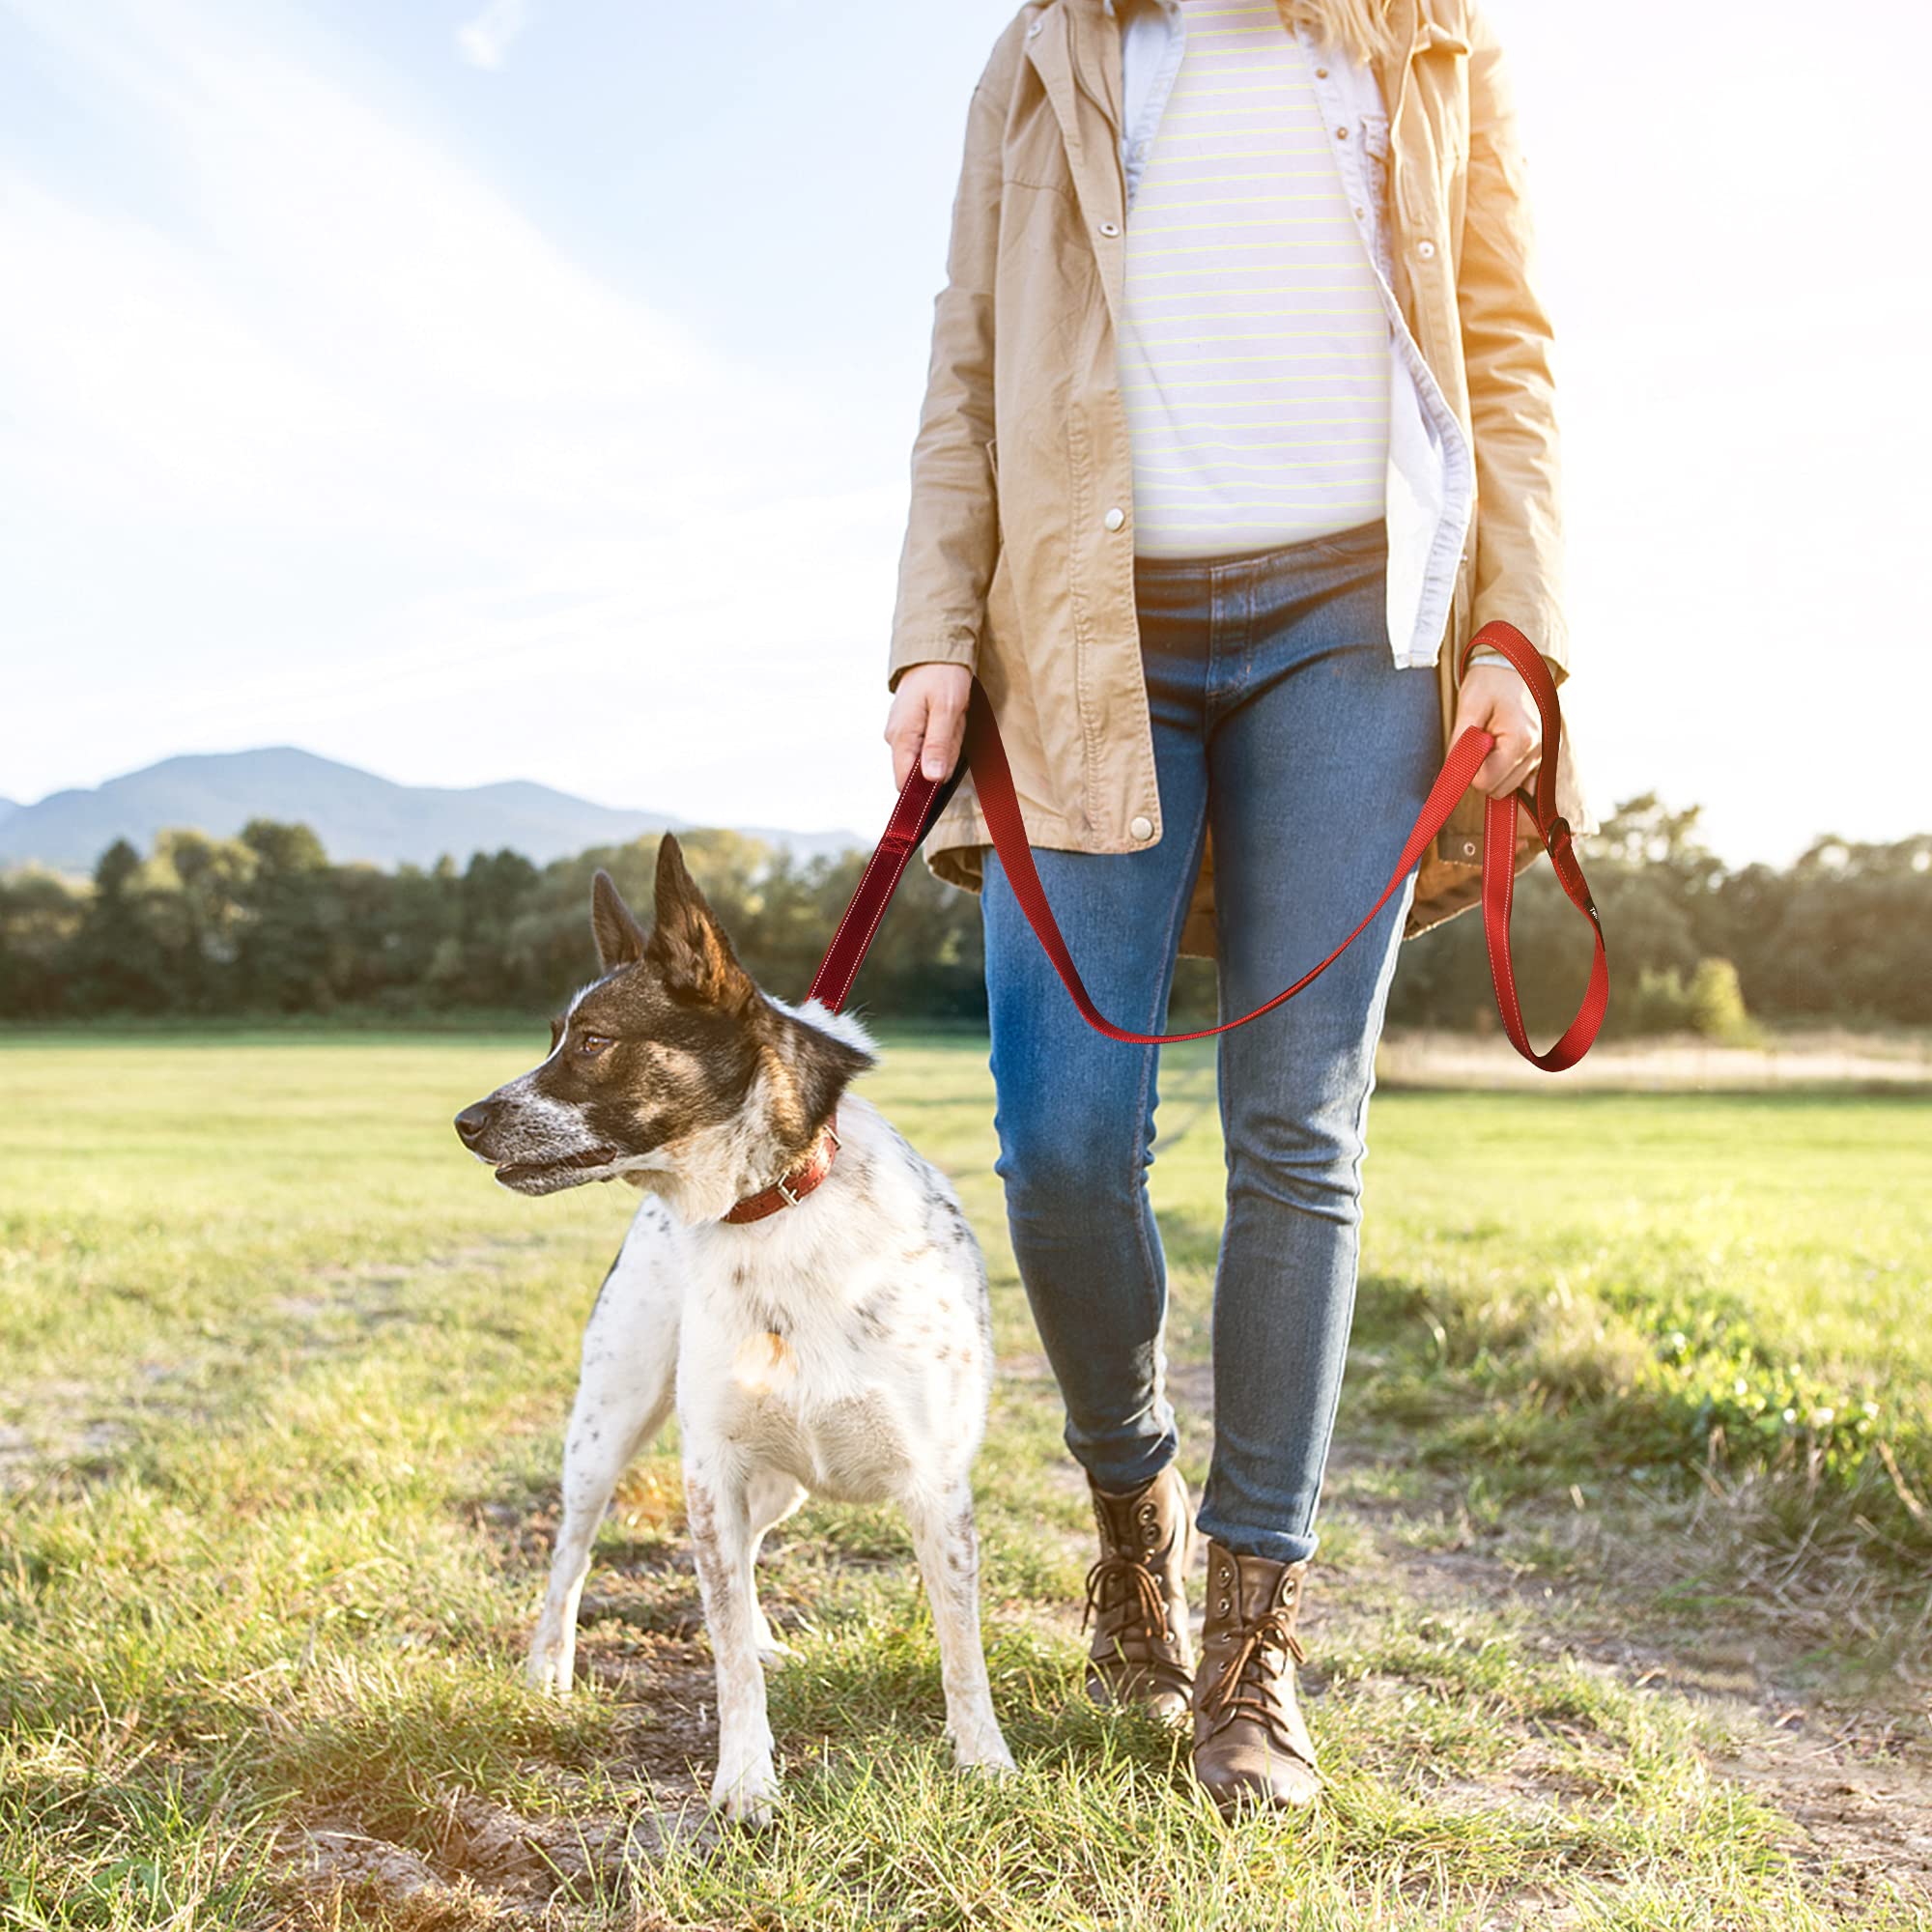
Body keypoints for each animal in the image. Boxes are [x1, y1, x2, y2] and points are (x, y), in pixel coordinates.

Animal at [454, 838, 1020, 1816]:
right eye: (554, 1037)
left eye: (594, 1042)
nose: (464, 1123)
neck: (775, 1206)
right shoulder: (709, 1467)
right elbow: (721, 1654)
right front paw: (746, 1780)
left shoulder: (935, 1486)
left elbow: (961, 1644)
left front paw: (983, 1759)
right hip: (607, 1430)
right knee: (573, 1553)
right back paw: (548, 1667)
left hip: (776, 1479)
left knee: (750, 1553)